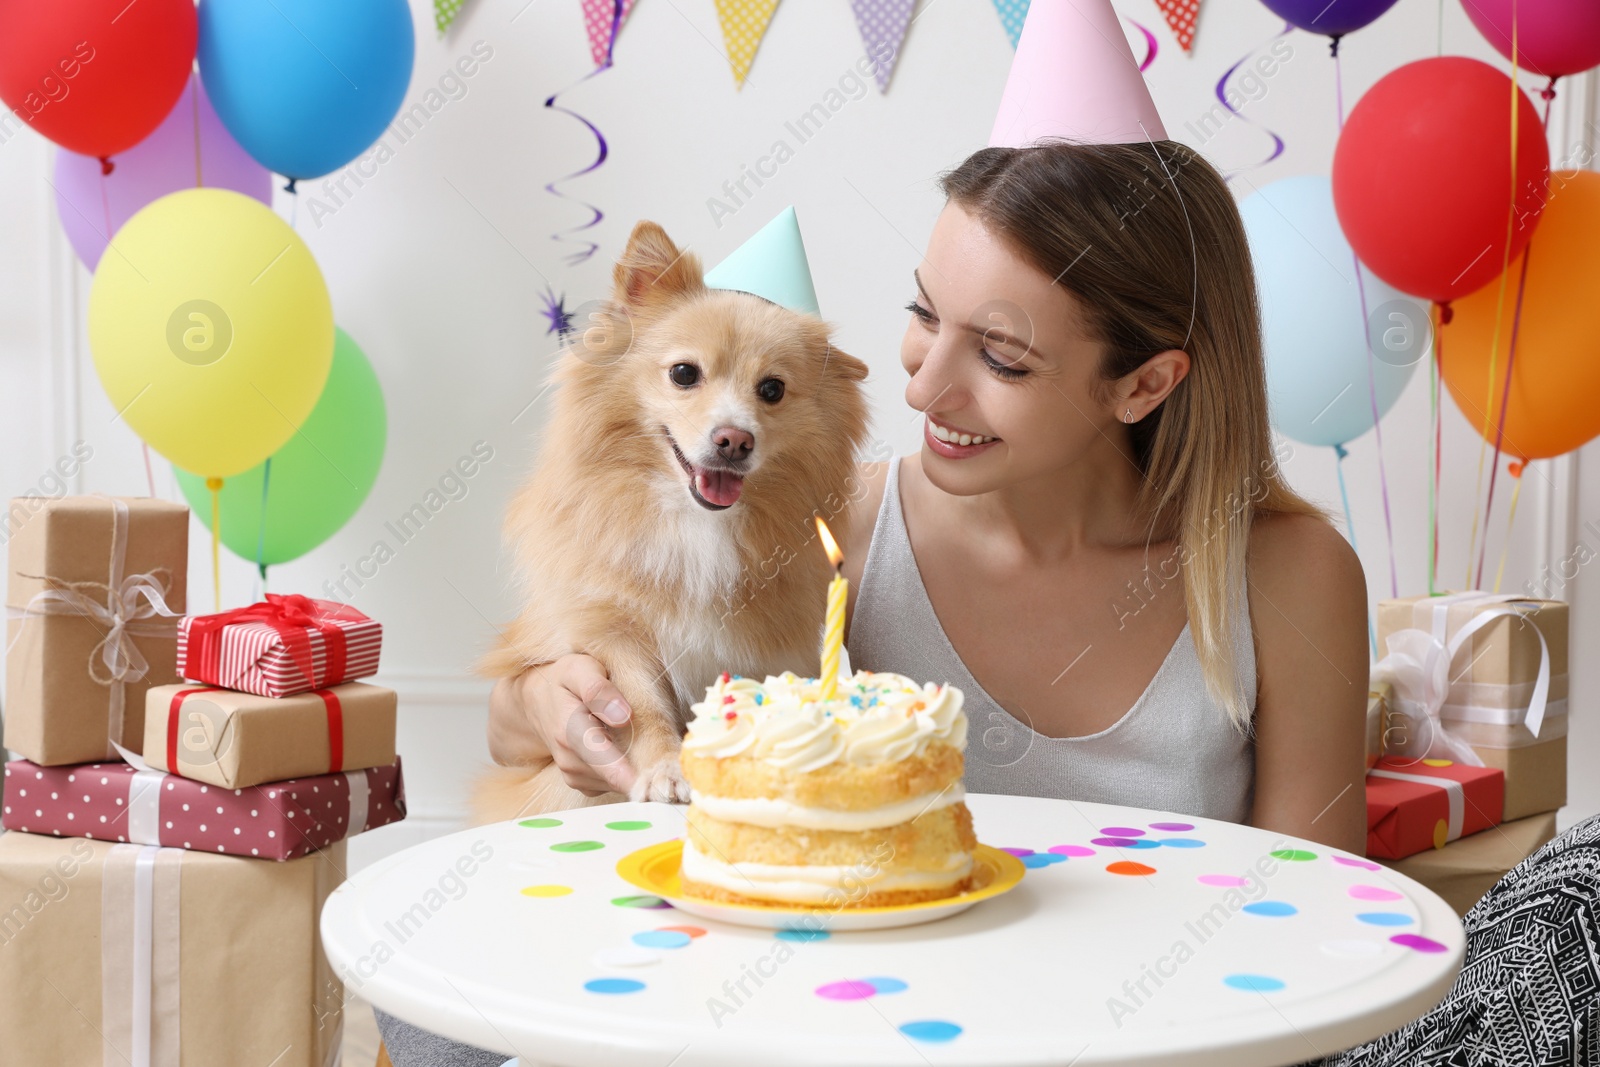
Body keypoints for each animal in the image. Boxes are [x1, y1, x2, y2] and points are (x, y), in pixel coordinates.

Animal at [473, 219, 870, 825]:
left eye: (772, 389)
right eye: (684, 374)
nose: (735, 440)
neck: (695, 524)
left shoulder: (763, 653)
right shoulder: (612, 636)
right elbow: (642, 704)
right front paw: (663, 769)